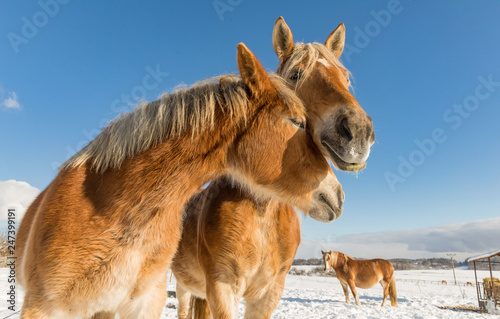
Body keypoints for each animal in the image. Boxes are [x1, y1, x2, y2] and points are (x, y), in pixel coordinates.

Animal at [174, 17, 374, 319]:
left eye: (346, 78)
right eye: (295, 75)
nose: (359, 131)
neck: (263, 214)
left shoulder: (269, 293)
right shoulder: (222, 288)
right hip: (184, 288)